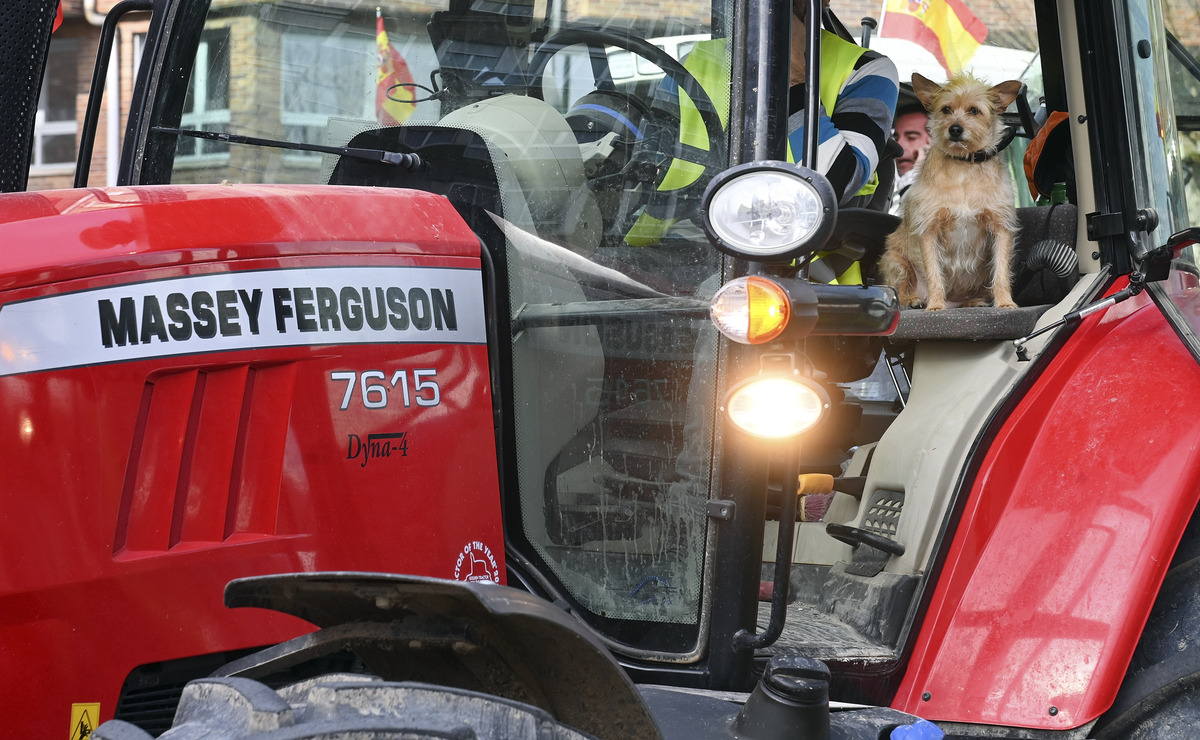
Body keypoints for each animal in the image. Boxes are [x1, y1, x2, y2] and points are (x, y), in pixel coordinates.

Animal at [883, 71, 1022, 309]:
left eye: (974, 110)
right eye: (946, 109)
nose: (955, 129)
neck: (964, 166)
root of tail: (955, 304)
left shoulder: (1001, 228)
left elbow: (1002, 273)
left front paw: (1004, 302)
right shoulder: (929, 229)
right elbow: (934, 274)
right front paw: (935, 305)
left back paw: (974, 301)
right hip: (895, 261)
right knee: (898, 291)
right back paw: (913, 300)